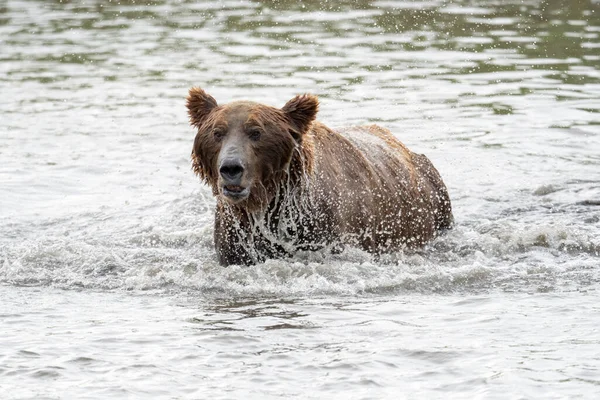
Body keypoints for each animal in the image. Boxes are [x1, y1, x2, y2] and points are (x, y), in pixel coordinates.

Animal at [185, 88, 452, 266]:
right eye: (217, 132)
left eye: (256, 132)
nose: (231, 168)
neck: (269, 206)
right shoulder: (236, 239)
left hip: (436, 206)